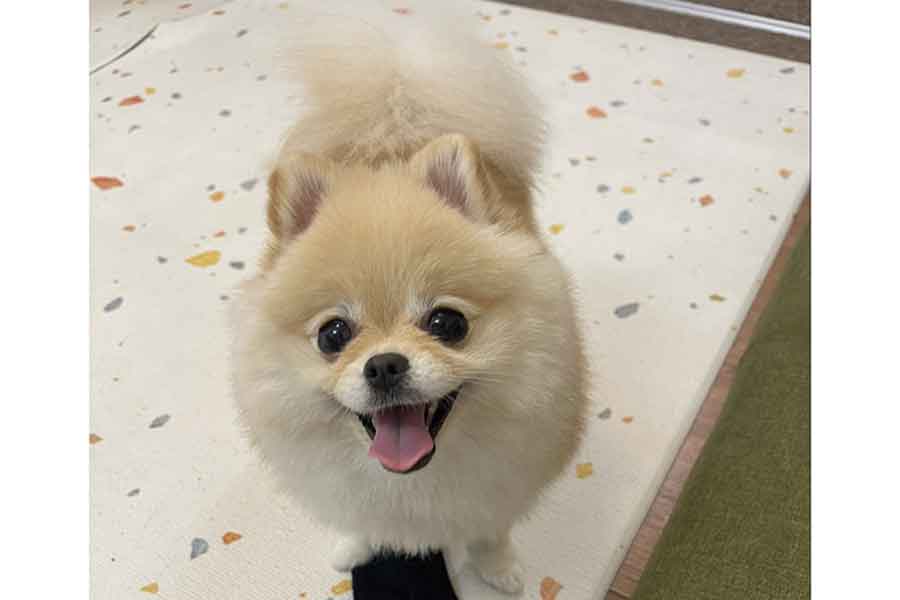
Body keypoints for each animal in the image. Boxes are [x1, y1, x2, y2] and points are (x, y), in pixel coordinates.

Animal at [229, 1, 588, 596]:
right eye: (333, 335)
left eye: (447, 323)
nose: (384, 365)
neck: (412, 481)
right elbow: (361, 519)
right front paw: (355, 546)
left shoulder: (501, 485)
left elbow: (491, 528)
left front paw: (498, 567)